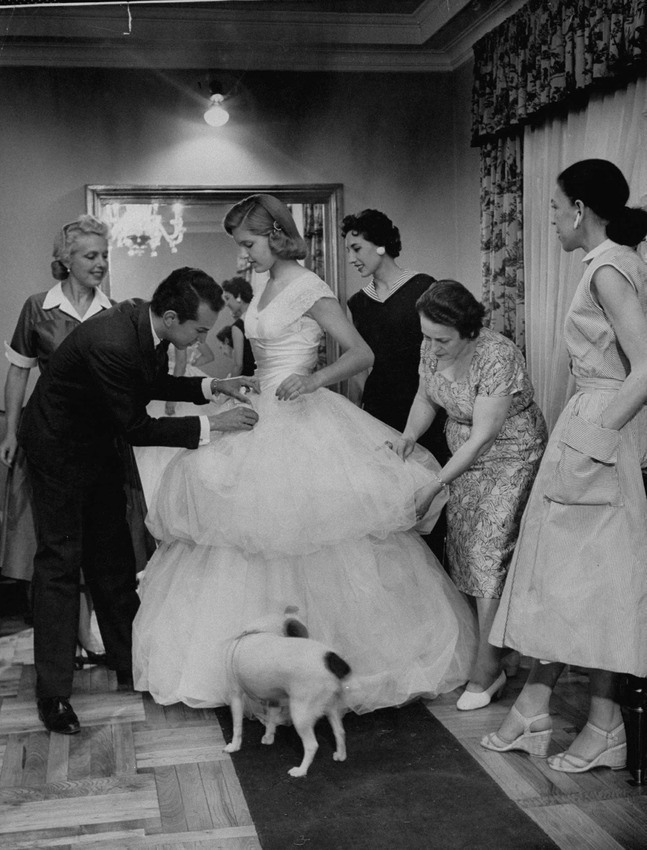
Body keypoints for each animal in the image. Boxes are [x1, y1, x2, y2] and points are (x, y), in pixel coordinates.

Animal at [225, 604, 352, 776]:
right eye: (303, 634)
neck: (261, 630)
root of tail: (329, 658)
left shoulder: (236, 695)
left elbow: (237, 726)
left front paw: (234, 746)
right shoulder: (273, 699)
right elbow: (271, 720)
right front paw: (268, 738)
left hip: (300, 714)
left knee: (312, 745)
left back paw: (300, 771)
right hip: (330, 707)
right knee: (339, 732)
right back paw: (340, 755)